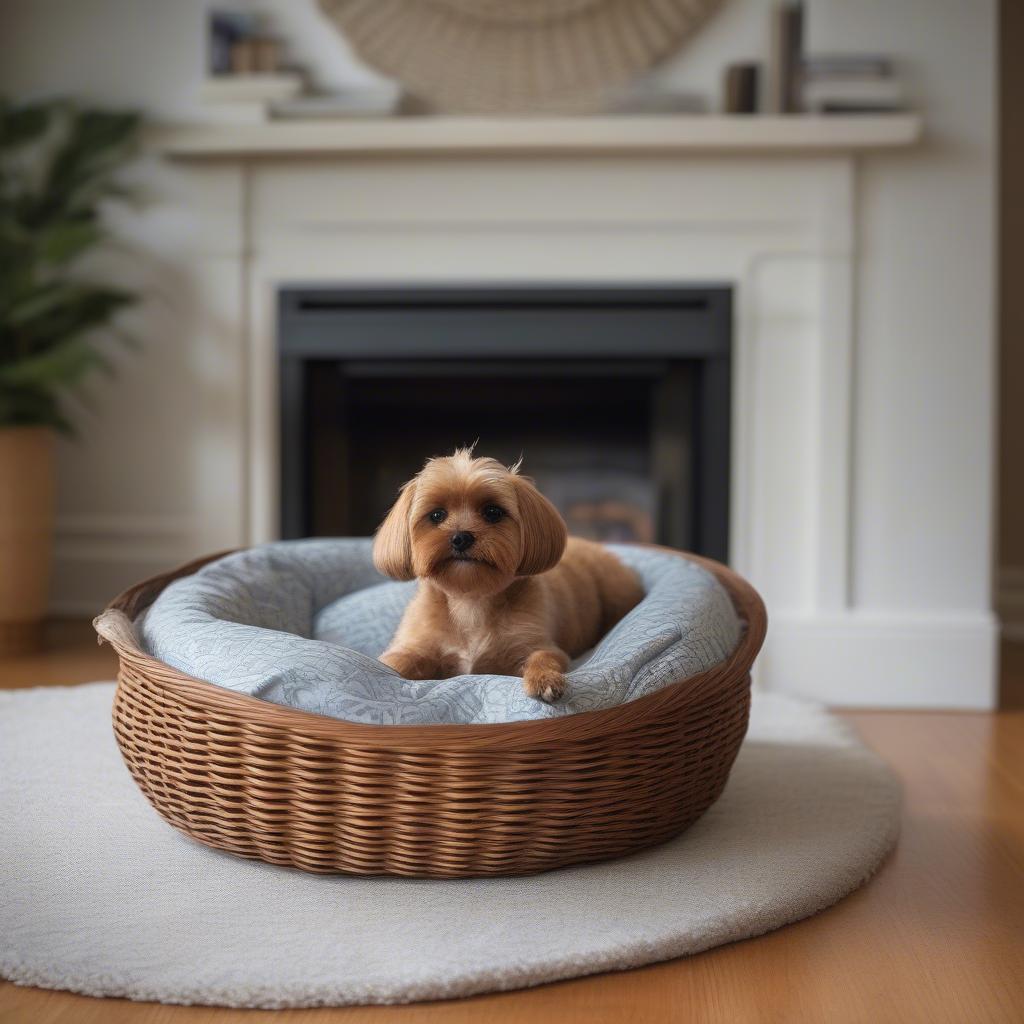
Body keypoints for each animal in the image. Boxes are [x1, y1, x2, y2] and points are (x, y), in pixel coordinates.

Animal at [370, 450, 638, 704]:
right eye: (437, 515)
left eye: (492, 512)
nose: (461, 538)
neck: (470, 600)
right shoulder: (420, 643)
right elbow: (398, 660)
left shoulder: (535, 644)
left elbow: (543, 657)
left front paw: (544, 679)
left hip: (616, 591)